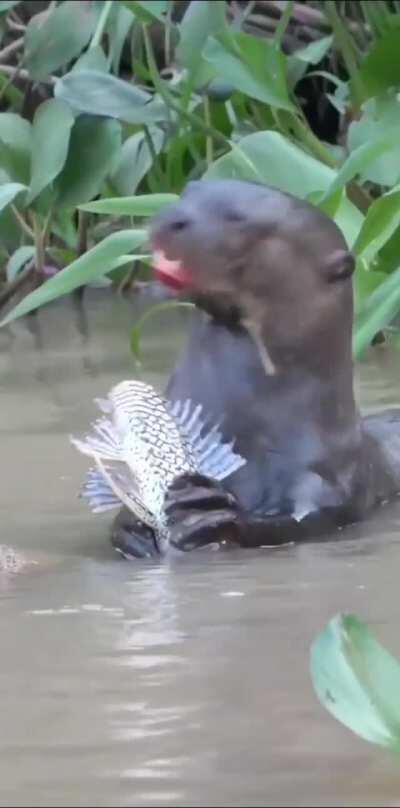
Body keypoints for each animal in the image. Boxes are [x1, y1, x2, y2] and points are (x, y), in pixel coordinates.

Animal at [112, 180, 400, 558]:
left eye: (238, 219)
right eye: (189, 190)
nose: (173, 218)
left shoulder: (329, 480)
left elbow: (303, 518)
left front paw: (215, 513)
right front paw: (131, 526)